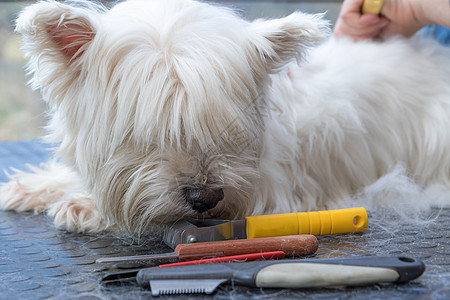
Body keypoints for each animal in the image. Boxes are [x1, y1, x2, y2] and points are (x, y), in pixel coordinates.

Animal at [0, 0, 450, 237]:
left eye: (230, 129)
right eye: (147, 132)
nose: (205, 198)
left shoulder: (277, 194)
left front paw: (85, 206)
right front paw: (34, 187)